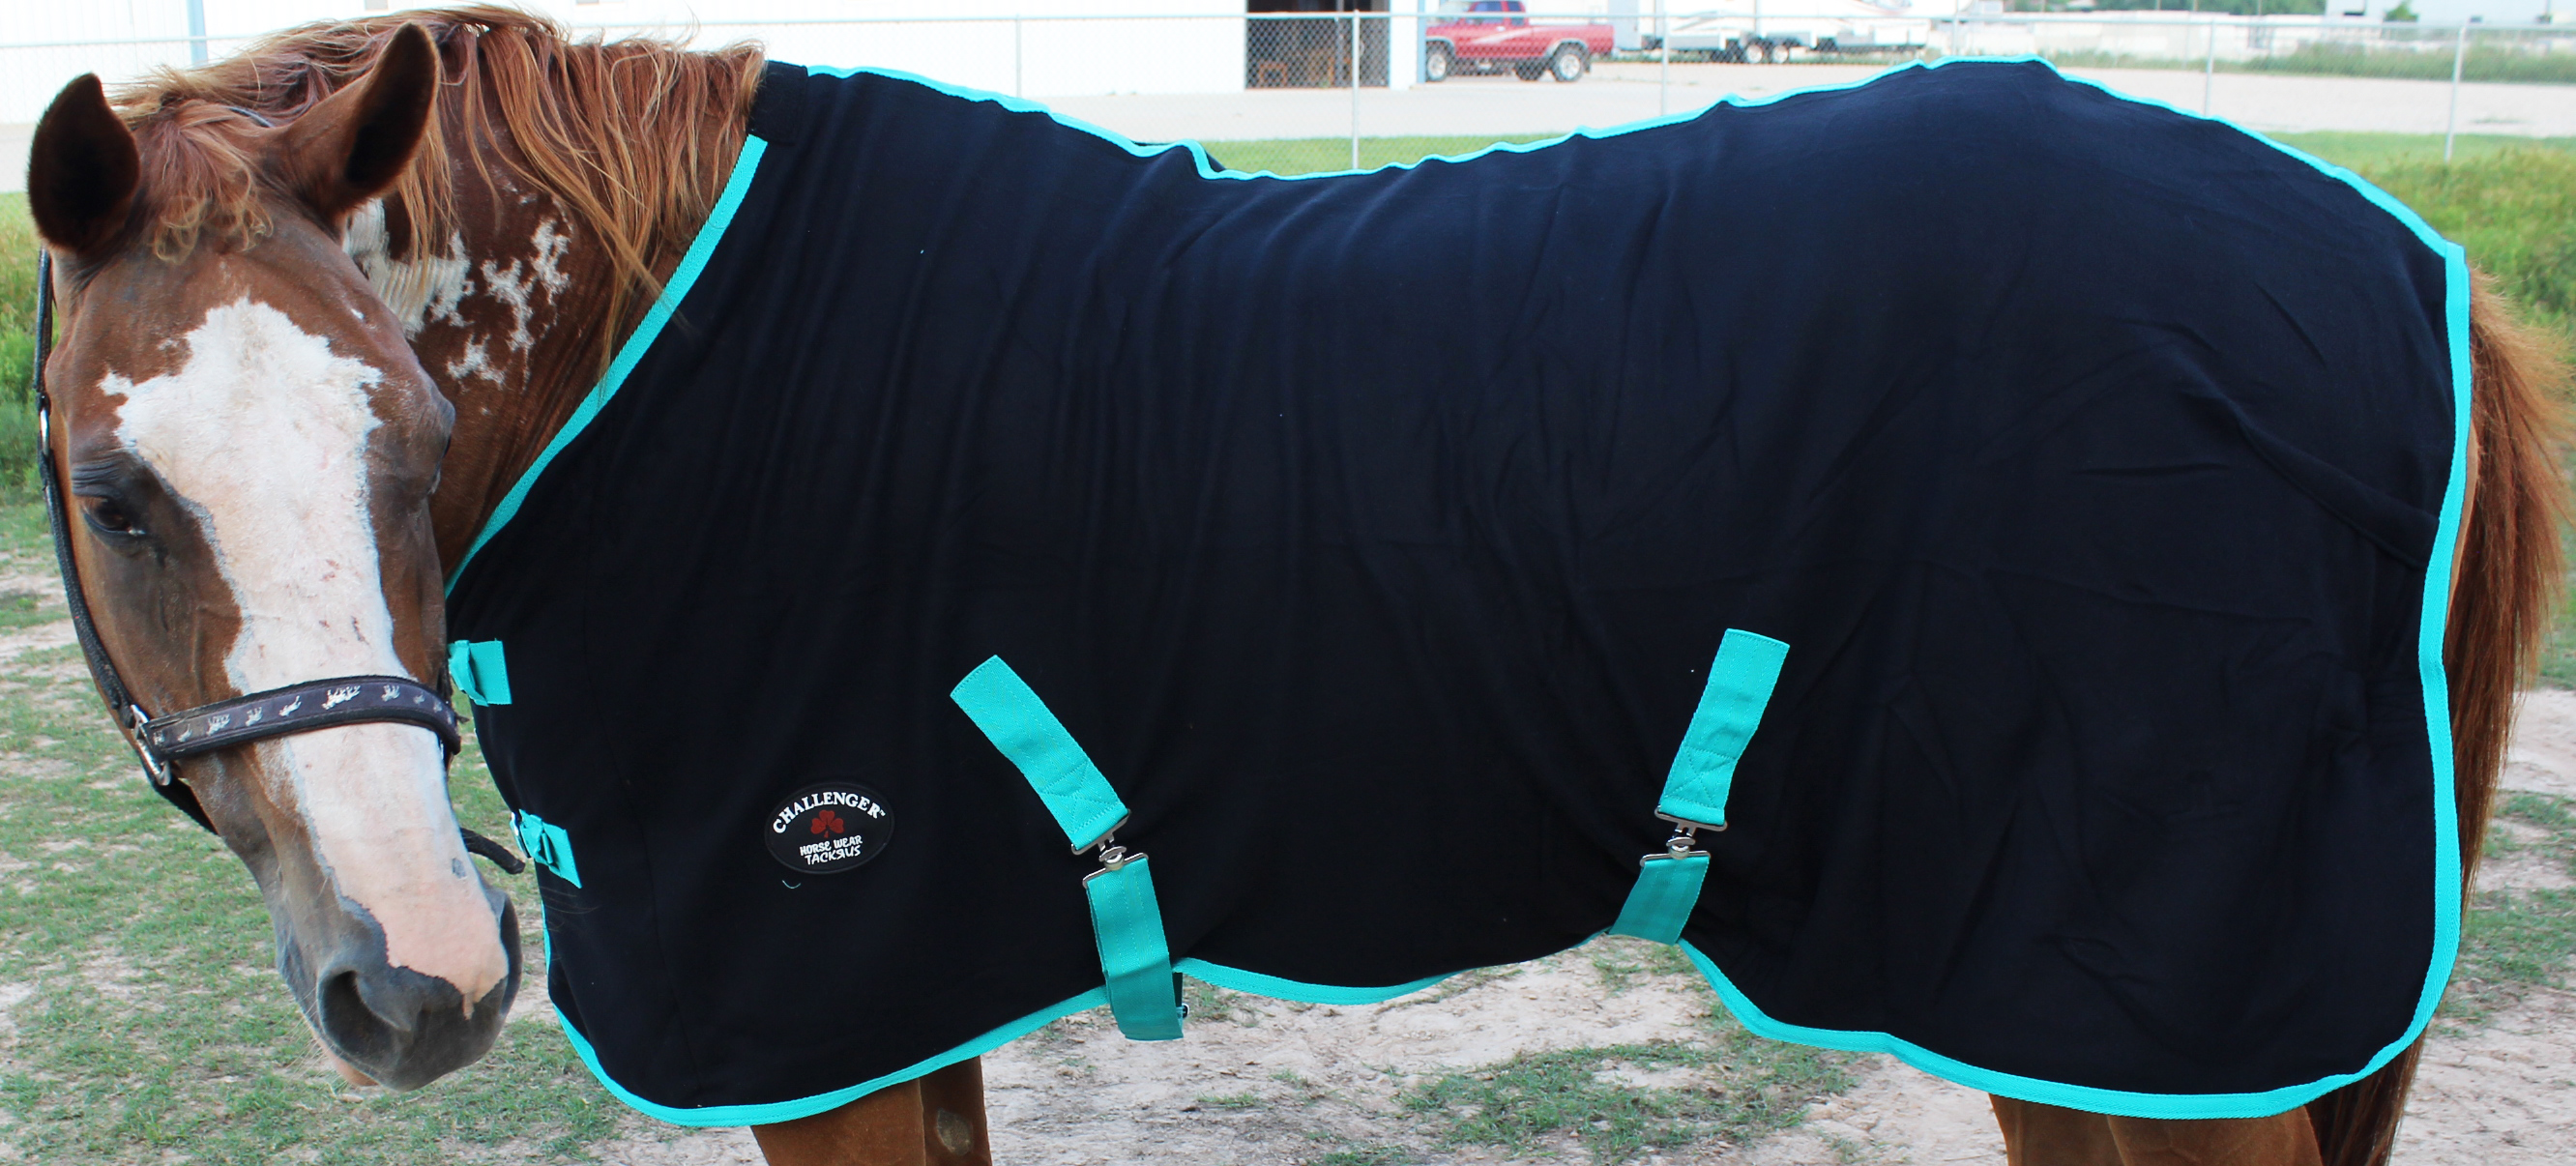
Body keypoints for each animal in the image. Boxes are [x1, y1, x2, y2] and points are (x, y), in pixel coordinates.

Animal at [20, 9, 2566, 1166]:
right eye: (118, 488)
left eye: (405, 439)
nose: (417, 975)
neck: (682, 369)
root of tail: (2405, 274)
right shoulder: (896, 1022)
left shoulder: (814, 1015)